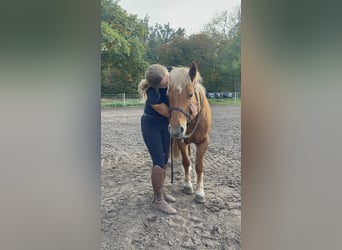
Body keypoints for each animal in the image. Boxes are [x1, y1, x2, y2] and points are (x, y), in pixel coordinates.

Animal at [166, 62, 211, 203]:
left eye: (190, 94)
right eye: (168, 95)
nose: (176, 129)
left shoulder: (203, 142)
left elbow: (199, 166)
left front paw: (200, 192)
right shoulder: (181, 141)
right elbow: (186, 162)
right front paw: (187, 185)